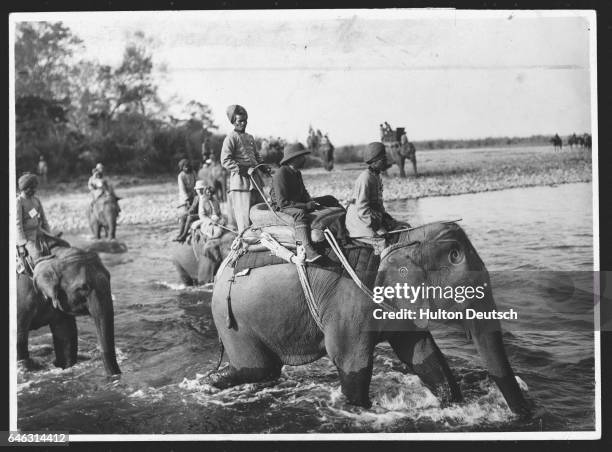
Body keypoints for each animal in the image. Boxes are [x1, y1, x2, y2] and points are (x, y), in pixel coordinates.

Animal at [17, 245, 120, 376]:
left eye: (109, 277)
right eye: (83, 287)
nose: (117, 376)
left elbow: (66, 335)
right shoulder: (21, 299)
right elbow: (19, 339)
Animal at [207, 221, 532, 414]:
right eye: (455, 257)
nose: (524, 419)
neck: (398, 241)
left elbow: (422, 353)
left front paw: (451, 403)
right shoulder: (350, 302)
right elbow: (351, 362)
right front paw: (363, 412)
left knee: (266, 371)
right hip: (232, 319)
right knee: (259, 368)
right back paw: (209, 383)